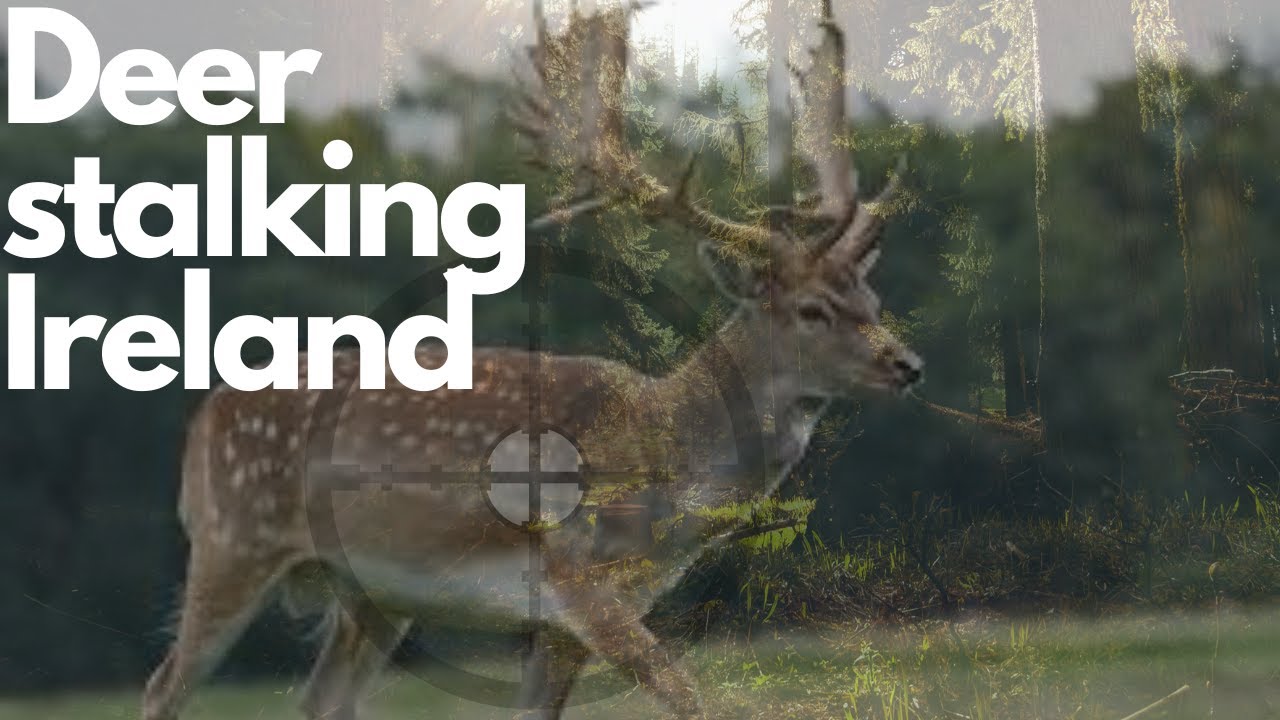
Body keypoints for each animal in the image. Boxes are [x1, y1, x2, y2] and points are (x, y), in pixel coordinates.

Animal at [140, 2, 922, 719]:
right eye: (812, 309)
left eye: (874, 296)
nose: (908, 364)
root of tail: (206, 414)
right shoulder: (577, 578)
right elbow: (691, 696)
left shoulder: (569, 621)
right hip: (232, 539)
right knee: (161, 688)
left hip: (370, 593)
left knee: (318, 700)